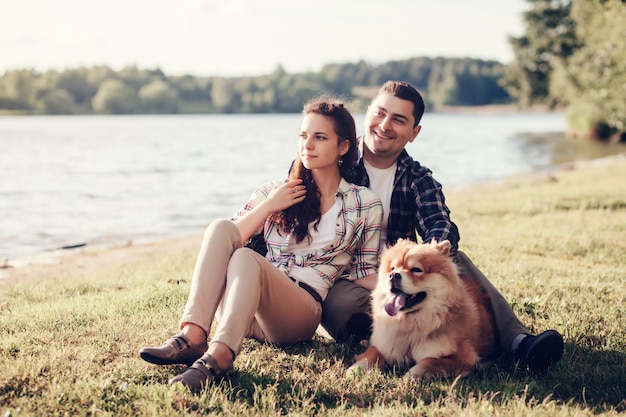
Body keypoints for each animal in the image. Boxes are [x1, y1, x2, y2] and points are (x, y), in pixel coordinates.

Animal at [348, 239, 494, 378]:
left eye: (416, 270)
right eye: (392, 268)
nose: (393, 275)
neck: (410, 324)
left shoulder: (463, 357)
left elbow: (429, 362)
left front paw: (410, 376)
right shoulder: (386, 344)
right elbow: (371, 355)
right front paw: (354, 370)